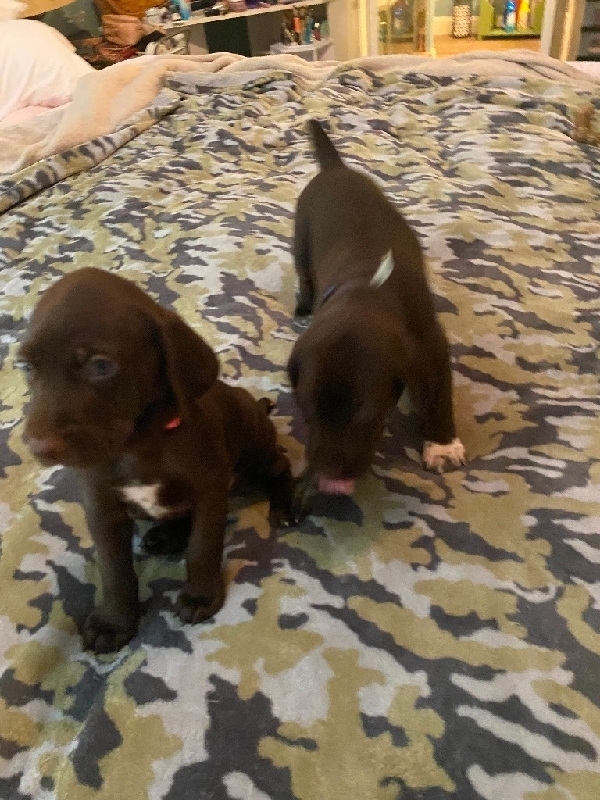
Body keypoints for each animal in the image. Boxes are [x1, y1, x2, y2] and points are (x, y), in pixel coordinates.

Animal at [19, 267, 294, 653]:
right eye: (25, 366)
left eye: (100, 366)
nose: (37, 446)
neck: (139, 446)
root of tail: (256, 404)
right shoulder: (101, 508)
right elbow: (114, 569)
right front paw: (115, 621)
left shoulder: (210, 491)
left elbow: (202, 547)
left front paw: (200, 596)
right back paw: (165, 535)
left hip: (254, 452)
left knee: (281, 465)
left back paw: (284, 507)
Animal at [288, 120, 465, 515]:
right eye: (306, 408)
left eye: (366, 414)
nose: (327, 476)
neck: (367, 291)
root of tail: (335, 170)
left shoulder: (431, 347)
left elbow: (438, 395)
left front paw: (442, 445)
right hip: (300, 237)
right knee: (304, 274)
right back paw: (303, 305)